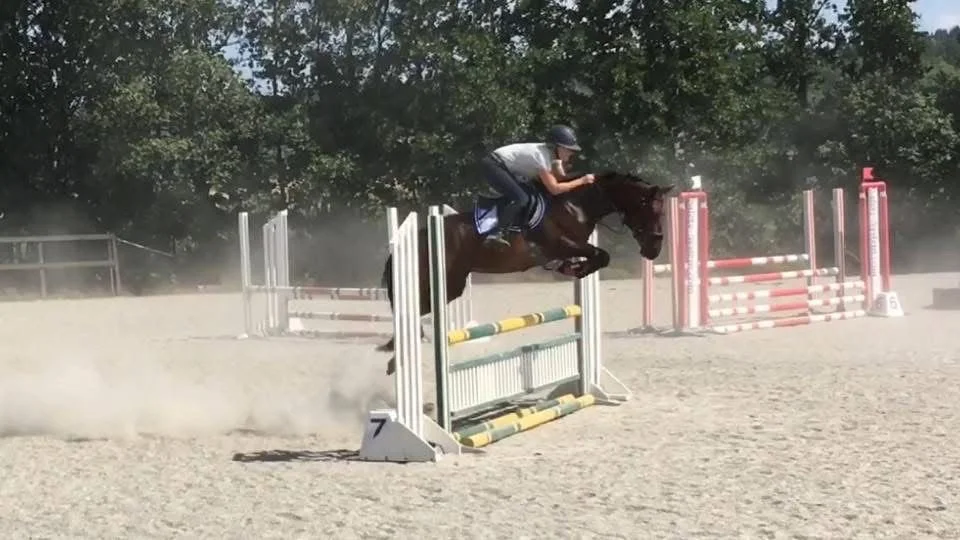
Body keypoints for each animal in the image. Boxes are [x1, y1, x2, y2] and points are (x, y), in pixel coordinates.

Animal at [376, 170, 674, 374]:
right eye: (649, 210)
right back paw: (394, 357)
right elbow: (602, 255)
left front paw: (572, 268)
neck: (578, 205)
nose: (654, 249)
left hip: (451, 286)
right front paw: (575, 268)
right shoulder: (560, 244)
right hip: (445, 283)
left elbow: (600, 257)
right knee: (409, 309)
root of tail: (420, 234)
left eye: (662, 213)